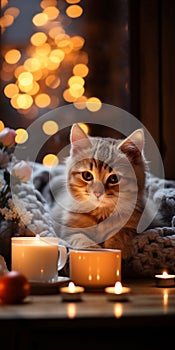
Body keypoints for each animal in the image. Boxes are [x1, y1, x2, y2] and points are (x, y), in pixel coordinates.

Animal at [51, 123, 164, 258]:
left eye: (114, 178)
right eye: (87, 176)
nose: (97, 193)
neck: (102, 214)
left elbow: (122, 232)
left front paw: (115, 247)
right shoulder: (68, 230)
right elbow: (80, 238)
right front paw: (93, 251)